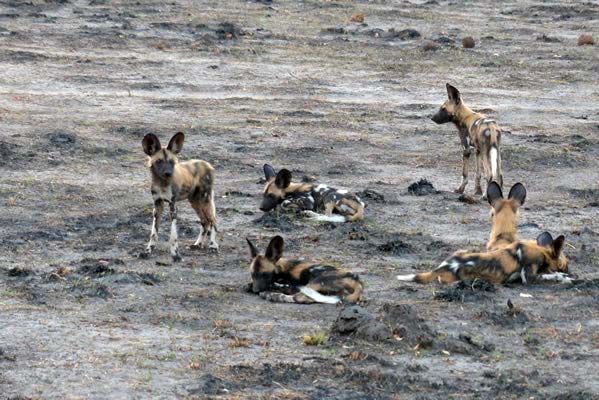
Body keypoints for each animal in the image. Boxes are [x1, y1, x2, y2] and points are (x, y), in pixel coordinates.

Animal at [142, 132, 219, 262]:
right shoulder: (157, 205)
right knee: (204, 222)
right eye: (159, 161)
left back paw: (213, 246)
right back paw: (198, 244)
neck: (163, 184)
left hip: (205, 200)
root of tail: (208, 164)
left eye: (172, 162)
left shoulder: (173, 206)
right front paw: (148, 251)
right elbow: (153, 233)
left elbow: (173, 235)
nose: (168, 173)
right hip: (194, 202)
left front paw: (175, 254)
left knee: (213, 221)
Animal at [398, 233, 572, 286]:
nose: (570, 271)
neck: (541, 251)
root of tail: (444, 266)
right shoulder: (528, 277)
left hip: (462, 251)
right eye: (566, 264)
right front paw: (565, 278)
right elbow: (549, 275)